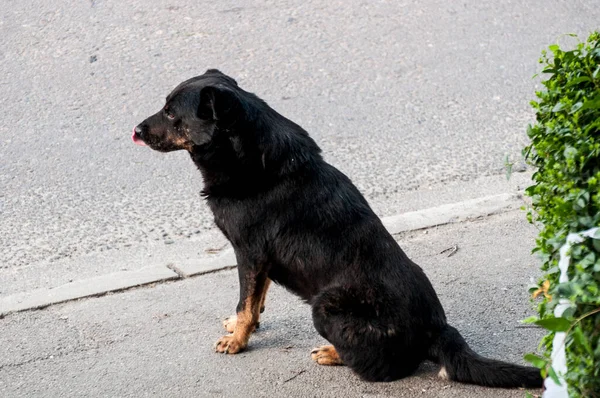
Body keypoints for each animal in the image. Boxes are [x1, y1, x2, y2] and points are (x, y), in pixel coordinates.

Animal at [135, 70, 544, 388]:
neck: (246, 154)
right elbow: (256, 298)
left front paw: (238, 340)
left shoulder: (248, 253)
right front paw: (239, 326)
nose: (135, 130)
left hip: (325, 306)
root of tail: (437, 329)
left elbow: (247, 302)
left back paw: (334, 353)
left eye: (171, 112)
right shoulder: (260, 261)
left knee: (385, 370)